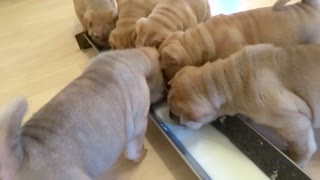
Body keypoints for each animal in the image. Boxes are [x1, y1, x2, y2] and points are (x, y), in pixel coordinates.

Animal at [0, 47, 164, 179]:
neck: (125, 57)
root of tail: (19, 159)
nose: (164, 94)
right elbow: (134, 151)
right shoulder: (138, 127)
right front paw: (141, 155)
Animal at [168, 43, 320, 167]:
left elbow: (302, 147)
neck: (230, 78)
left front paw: (296, 160)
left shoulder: (294, 122)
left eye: (176, 114)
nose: (169, 115)